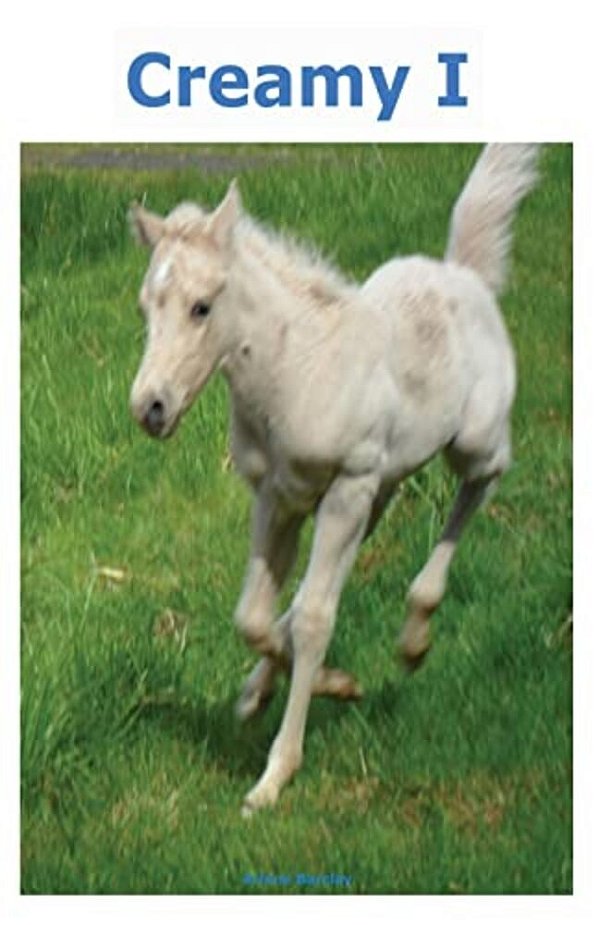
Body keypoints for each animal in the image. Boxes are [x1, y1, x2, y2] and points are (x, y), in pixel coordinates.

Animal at [129, 144, 539, 814]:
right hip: (380, 487)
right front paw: (313, 686)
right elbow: (256, 615)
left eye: (201, 307)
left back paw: (416, 633)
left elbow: (315, 618)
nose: (151, 408)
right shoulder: (279, 497)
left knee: (486, 477)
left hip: (461, 448)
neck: (298, 369)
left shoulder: (344, 486)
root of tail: (466, 277)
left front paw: (274, 776)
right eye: (146, 307)